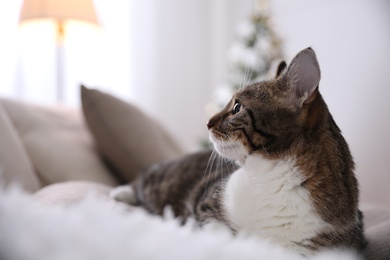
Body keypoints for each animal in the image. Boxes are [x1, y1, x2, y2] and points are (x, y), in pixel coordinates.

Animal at [111, 47, 368, 255]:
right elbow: (223, 235)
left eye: (237, 107)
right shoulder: (207, 203)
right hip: (164, 179)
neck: (268, 177)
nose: (208, 122)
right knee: (145, 179)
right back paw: (121, 193)